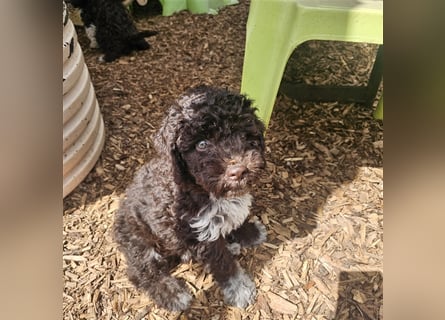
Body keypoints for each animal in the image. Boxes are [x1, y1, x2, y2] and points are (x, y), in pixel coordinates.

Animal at [114, 85, 268, 310]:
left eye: (242, 133)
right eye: (202, 144)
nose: (239, 171)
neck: (206, 191)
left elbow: (236, 221)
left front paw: (250, 232)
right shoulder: (199, 234)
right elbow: (222, 263)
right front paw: (239, 287)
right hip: (139, 240)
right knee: (141, 271)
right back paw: (171, 293)